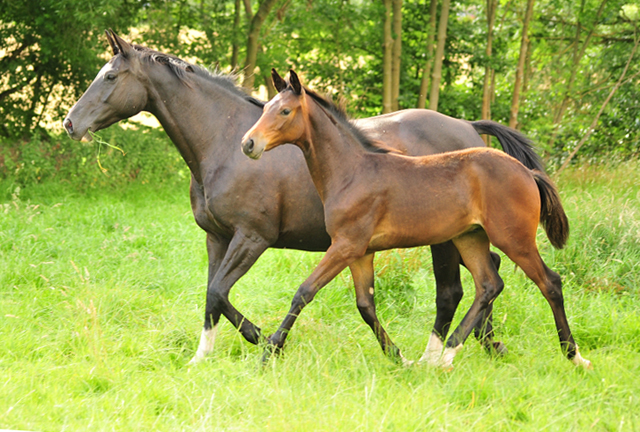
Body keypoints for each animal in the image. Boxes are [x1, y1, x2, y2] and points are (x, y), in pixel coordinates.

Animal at [65, 30, 544, 364]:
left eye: (110, 76)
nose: (70, 123)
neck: (223, 144)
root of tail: (468, 128)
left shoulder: (252, 237)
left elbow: (220, 292)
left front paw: (261, 339)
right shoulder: (216, 238)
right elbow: (211, 295)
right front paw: (202, 356)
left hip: (443, 239)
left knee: (454, 290)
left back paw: (442, 353)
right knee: (485, 275)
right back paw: (486, 345)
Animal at [242, 70, 592, 368]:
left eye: (285, 112)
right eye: (265, 108)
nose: (249, 143)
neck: (352, 171)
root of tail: (527, 173)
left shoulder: (345, 246)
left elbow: (304, 292)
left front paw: (269, 351)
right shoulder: (360, 252)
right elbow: (365, 305)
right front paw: (398, 357)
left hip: (513, 239)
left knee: (550, 283)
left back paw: (574, 356)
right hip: (470, 237)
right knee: (489, 285)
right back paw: (446, 354)